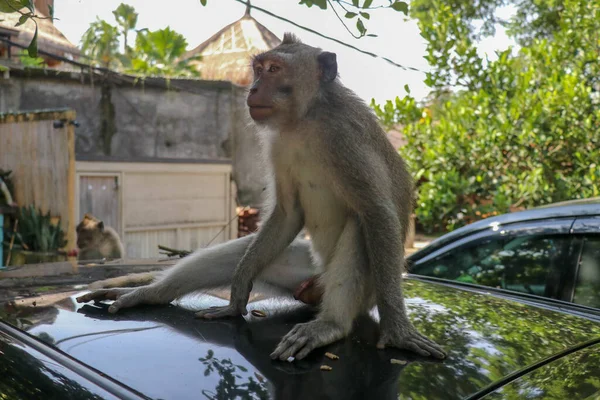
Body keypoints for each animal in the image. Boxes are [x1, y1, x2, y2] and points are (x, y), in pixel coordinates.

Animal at [76, 33, 446, 360]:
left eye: (274, 69)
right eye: (258, 69)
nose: (253, 89)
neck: (305, 120)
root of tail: (317, 284)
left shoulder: (344, 137)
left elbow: (376, 212)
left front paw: (397, 330)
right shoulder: (278, 144)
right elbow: (287, 213)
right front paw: (239, 289)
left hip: (368, 289)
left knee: (359, 226)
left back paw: (330, 325)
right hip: (303, 269)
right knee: (239, 251)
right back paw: (151, 294)